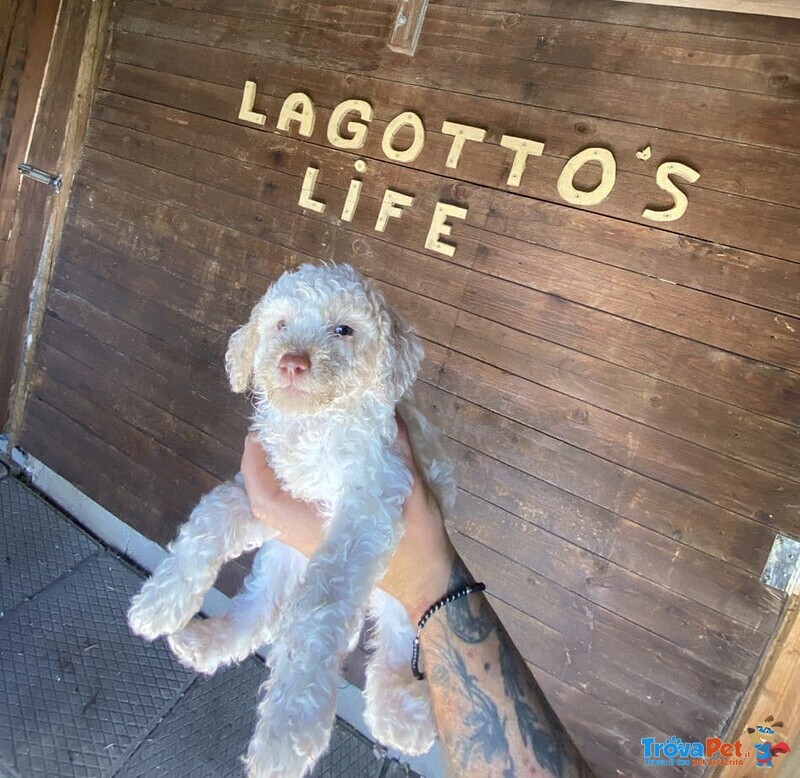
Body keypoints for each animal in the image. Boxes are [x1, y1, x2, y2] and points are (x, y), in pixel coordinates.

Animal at [126, 262, 456, 776]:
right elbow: (210, 518)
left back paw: (402, 716)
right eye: (280, 324)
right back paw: (202, 641)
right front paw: (157, 604)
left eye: (343, 329)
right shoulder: (271, 494)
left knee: (401, 636)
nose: (292, 362)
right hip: (283, 555)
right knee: (263, 608)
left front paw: (286, 736)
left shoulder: (370, 504)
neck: (314, 425)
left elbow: (315, 612)